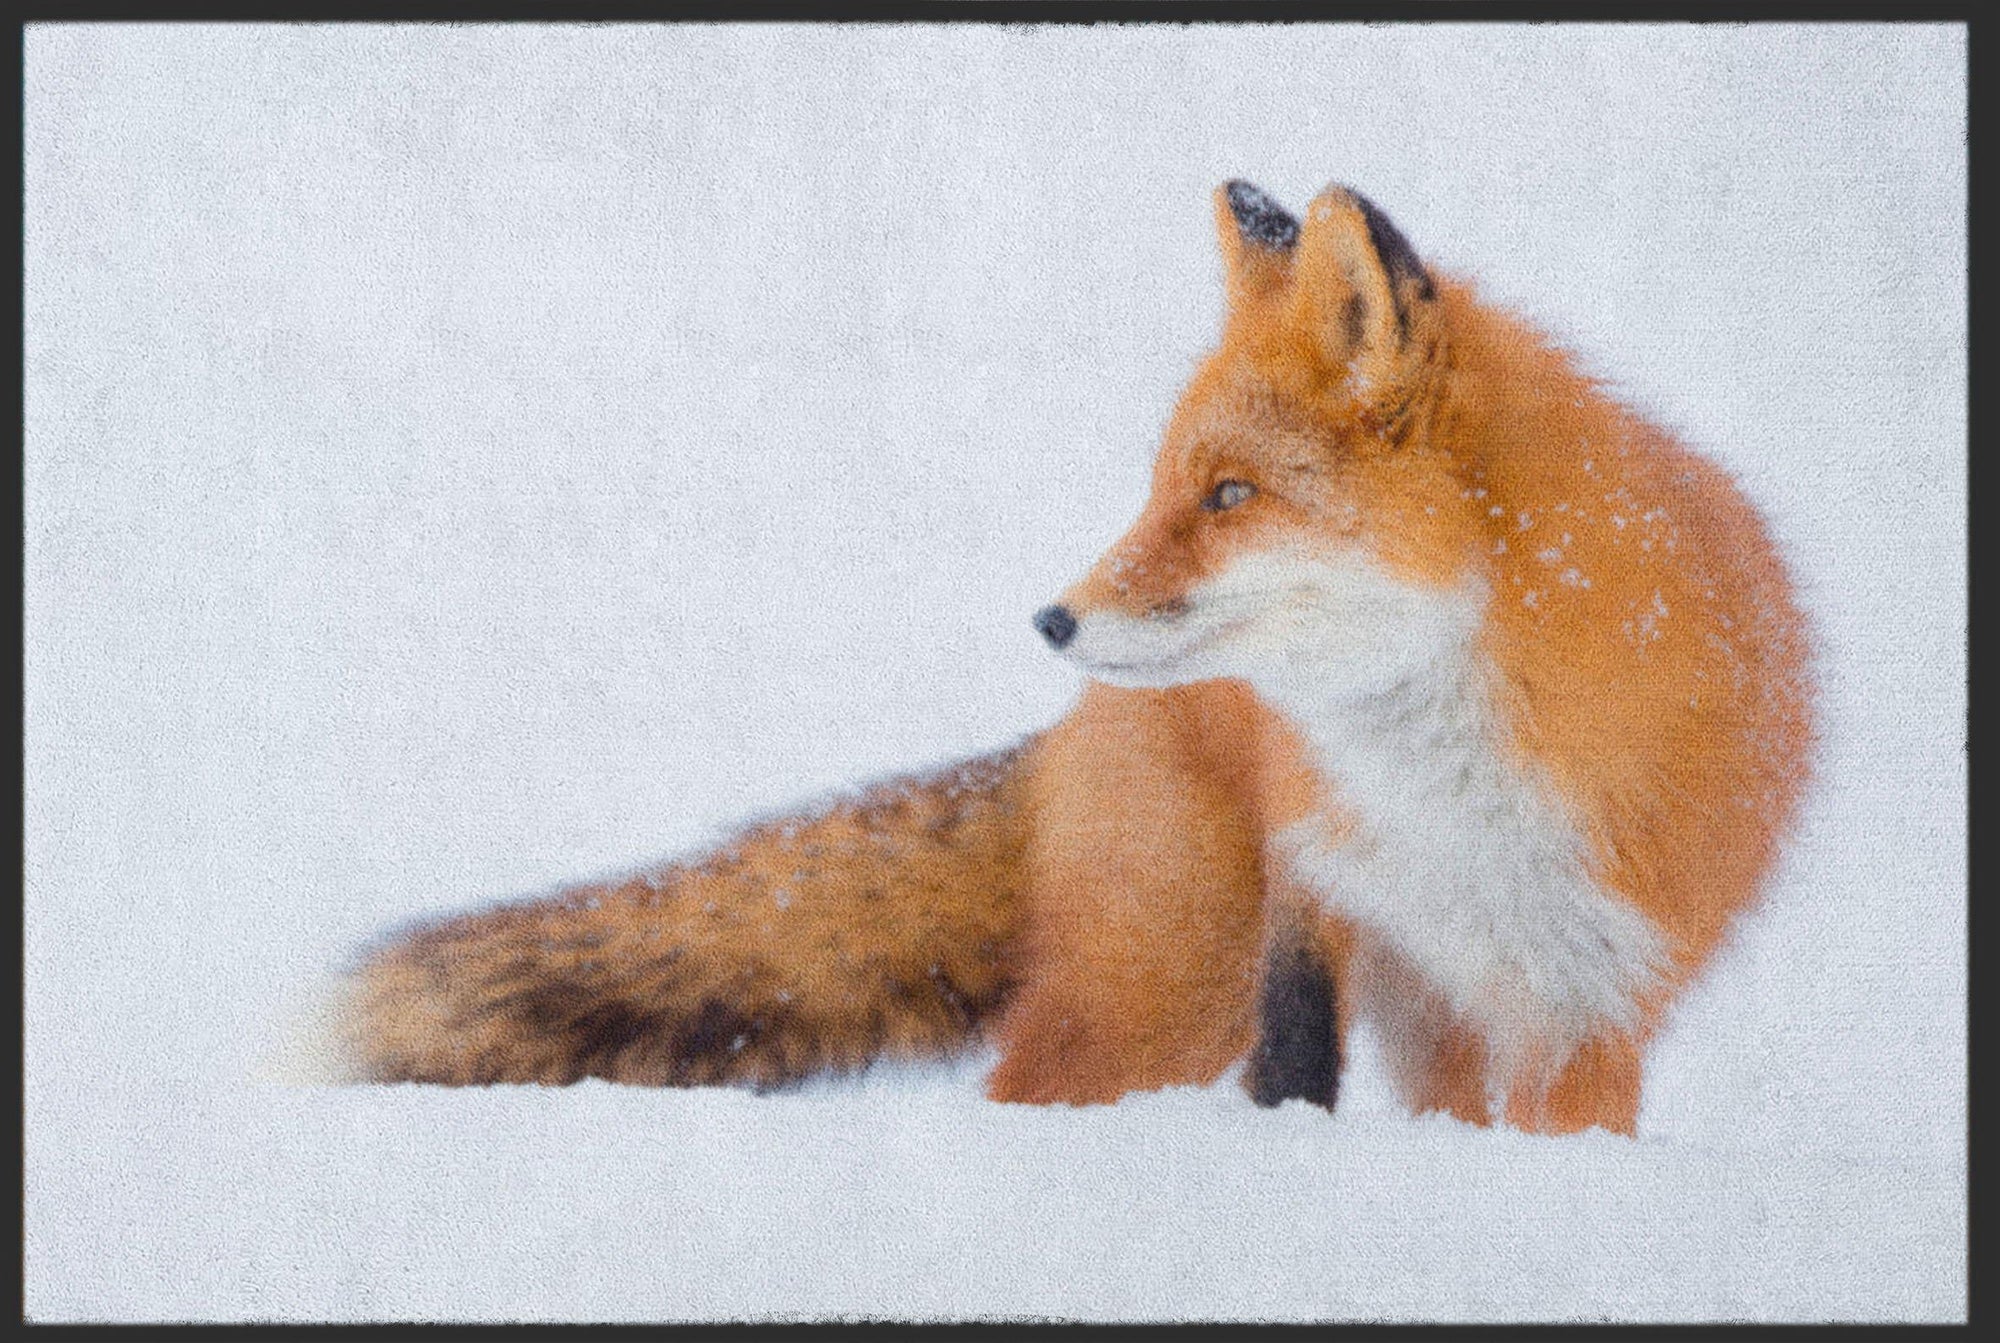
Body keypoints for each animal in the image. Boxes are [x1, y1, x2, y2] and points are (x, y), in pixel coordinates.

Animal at [324, 181, 1814, 1135]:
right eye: (1161, 485)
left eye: (1228, 495)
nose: (1052, 621)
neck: (1459, 781)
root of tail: (1072, 738)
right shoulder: (1322, 906)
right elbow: (1293, 1061)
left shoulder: (1587, 1008)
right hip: (1175, 980)